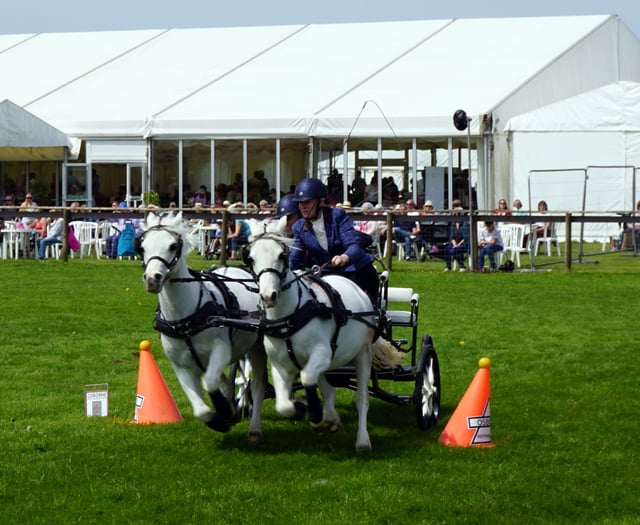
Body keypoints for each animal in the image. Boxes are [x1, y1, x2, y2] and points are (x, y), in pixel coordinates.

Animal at [139, 211, 266, 440]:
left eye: (172, 246)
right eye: (142, 247)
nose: (153, 279)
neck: (185, 319)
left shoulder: (221, 350)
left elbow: (211, 382)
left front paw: (225, 411)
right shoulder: (181, 365)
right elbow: (201, 409)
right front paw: (220, 419)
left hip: (259, 346)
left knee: (257, 386)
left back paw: (254, 428)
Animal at [245, 215, 396, 452]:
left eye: (281, 255)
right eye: (251, 258)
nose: (268, 296)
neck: (290, 316)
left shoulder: (321, 353)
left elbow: (308, 378)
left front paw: (315, 416)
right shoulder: (280, 365)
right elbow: (282, 403)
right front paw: (301, 410)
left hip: (362, 353)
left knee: (362, 398)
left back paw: (362, 441)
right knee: (328, 388)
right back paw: (331, 418)